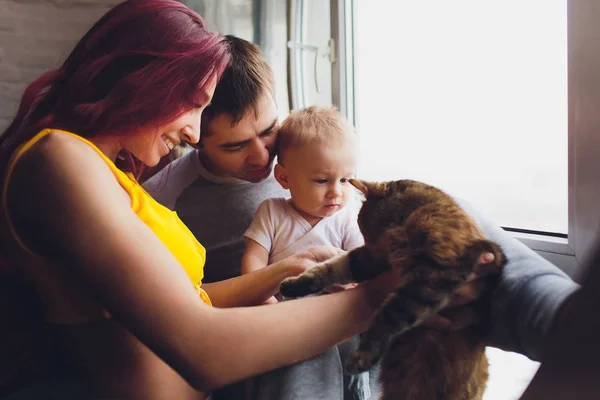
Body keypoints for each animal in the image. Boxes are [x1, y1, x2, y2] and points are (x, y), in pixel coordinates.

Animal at [278, 179, 504, 400]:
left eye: (360, 222)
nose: (364, 242)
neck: (409, 216)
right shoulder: (372, 258)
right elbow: (331, 268)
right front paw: (296, 284)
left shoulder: (433, 273)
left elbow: (389, 316)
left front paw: (363, 356)